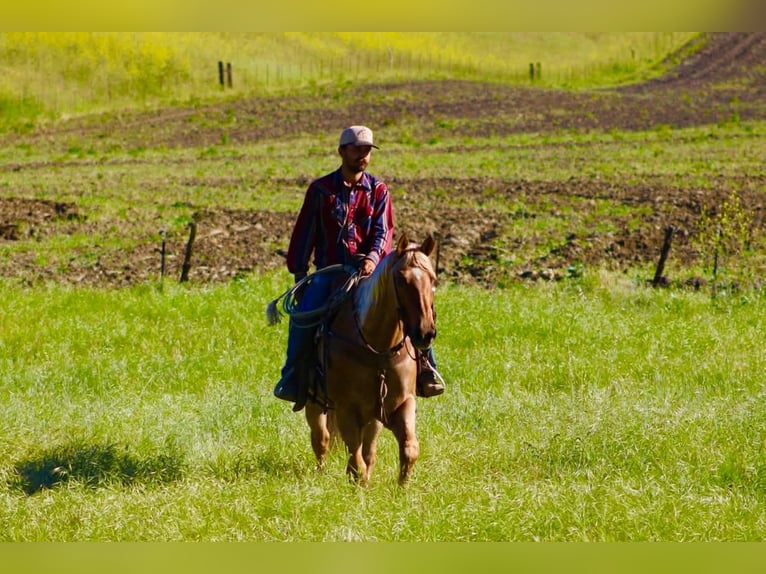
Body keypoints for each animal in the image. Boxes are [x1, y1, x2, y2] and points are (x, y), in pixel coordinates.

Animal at [305, 232, 438, 485]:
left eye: (433, 280)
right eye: (401, 279)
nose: (425, 333)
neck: (378, 350)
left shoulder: (402, 403)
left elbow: (409, 448)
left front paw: (402, 488)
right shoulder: (346, 408)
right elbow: (354, 458)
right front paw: (360, 484)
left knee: (368, 447)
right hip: (314, 401)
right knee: (321, 438)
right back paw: (320, 473)